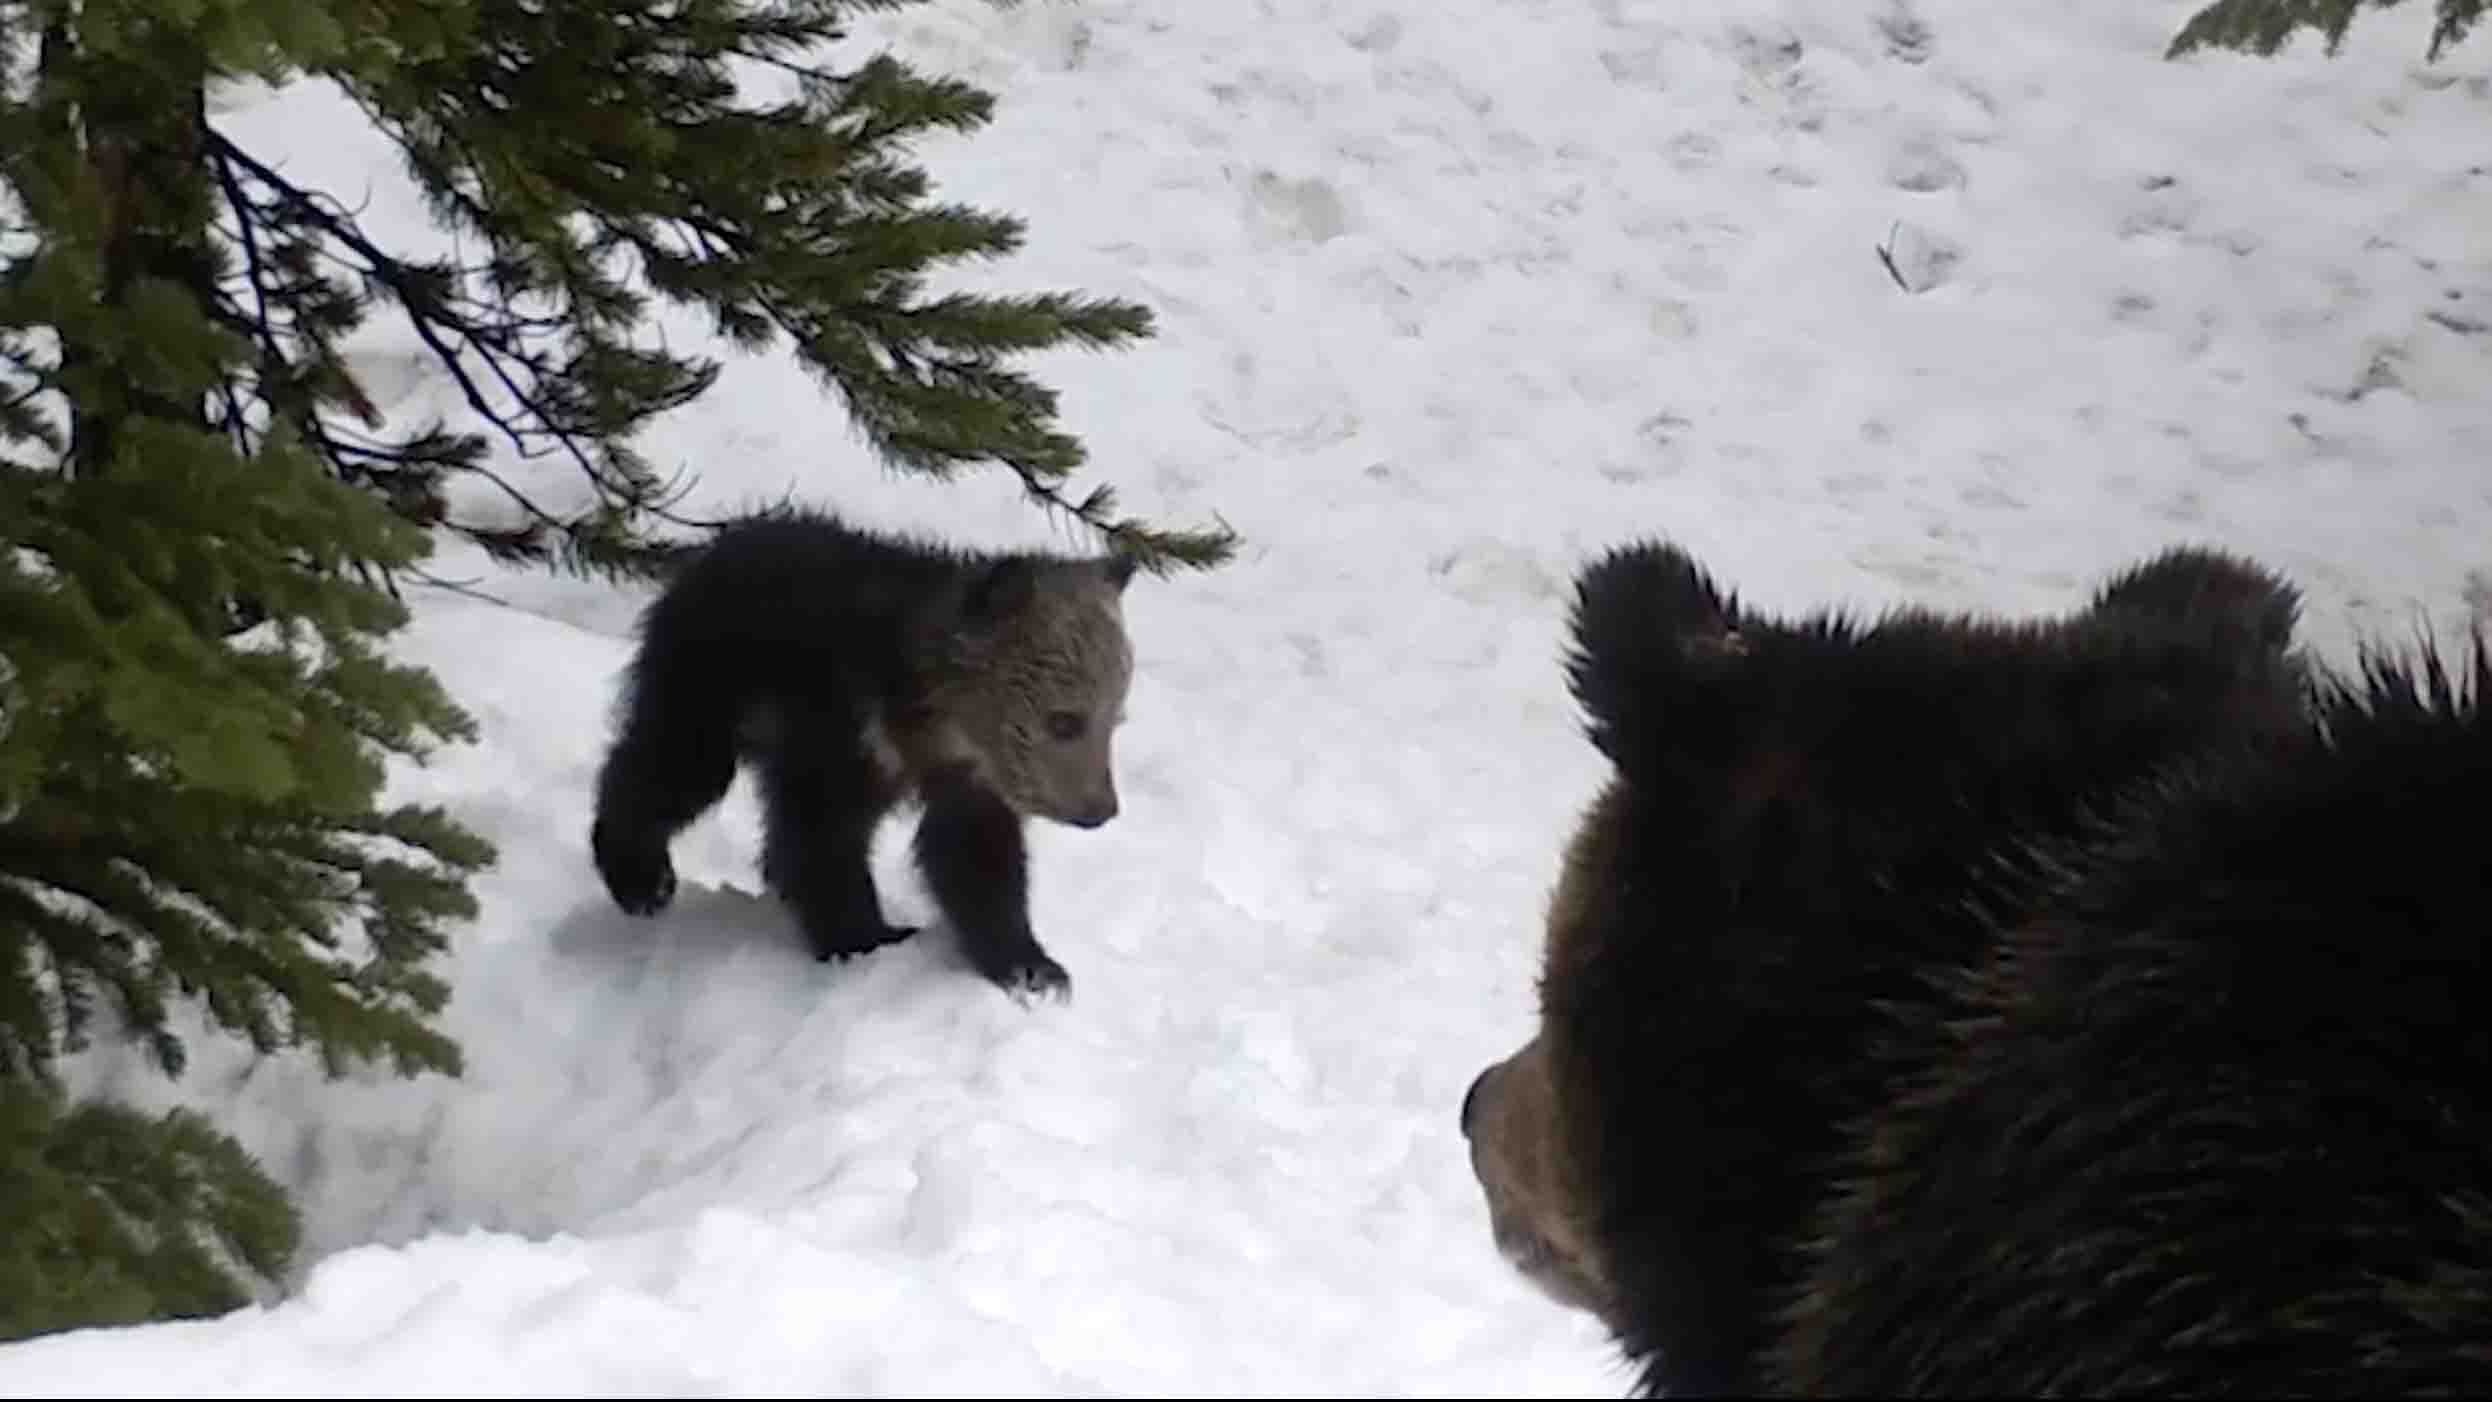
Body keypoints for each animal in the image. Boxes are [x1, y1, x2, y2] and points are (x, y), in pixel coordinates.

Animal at [588, 506, 1139, 1001]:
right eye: (1064, 720)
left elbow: (977, 861)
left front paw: (1033, 968)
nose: (1101, 810)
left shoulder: (968, 783)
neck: (924, 724)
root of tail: (721, 542)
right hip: (708, 681)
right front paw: (867, 938)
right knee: (670, 765)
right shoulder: (834, 732)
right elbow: (819, 843)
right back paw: (641, 879)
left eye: (1115, 718)